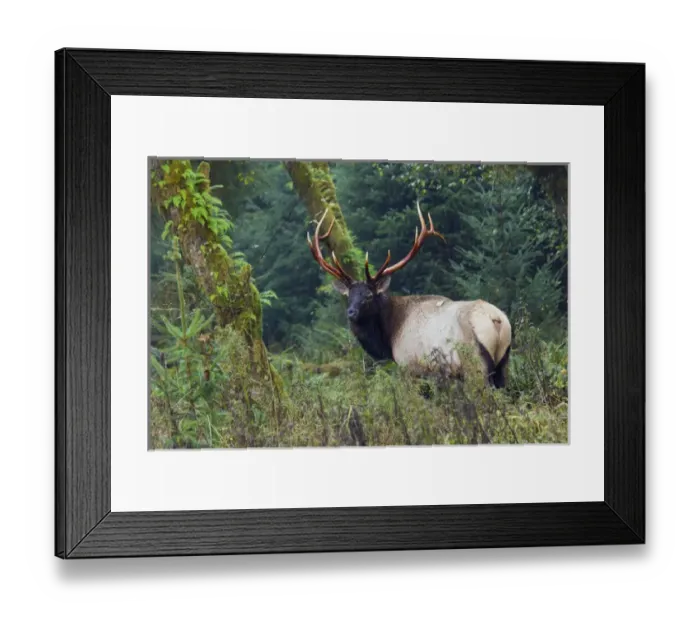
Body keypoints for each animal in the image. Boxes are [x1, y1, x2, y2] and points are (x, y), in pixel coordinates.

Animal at [307, 202, 512, 388]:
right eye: (349, 295)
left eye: (369, 295)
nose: (351, 313)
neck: (389, 339)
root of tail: (496, 320)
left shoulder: (411, 368)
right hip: (503, 363)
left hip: (475, 363)